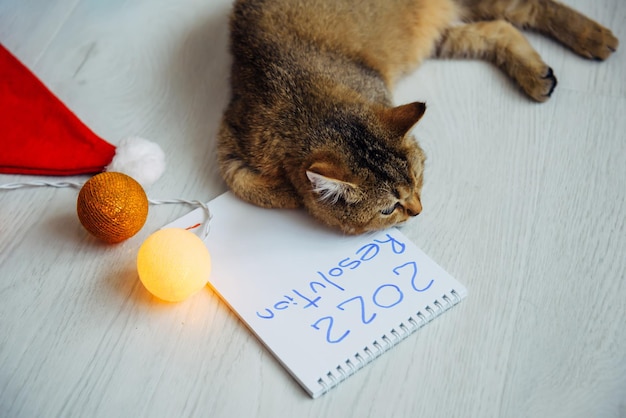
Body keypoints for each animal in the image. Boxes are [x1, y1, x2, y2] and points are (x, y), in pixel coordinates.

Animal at [217, 0, 616, 235]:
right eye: (388, 209)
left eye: (419, 178)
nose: (418, 210)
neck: (308, 105)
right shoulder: (230, 139)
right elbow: (244, 182)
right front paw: (292, 194)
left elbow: (247, 185)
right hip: (439, 36)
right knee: (499, 28)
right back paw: (537, 73)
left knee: (528, 8)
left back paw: (594, 36)